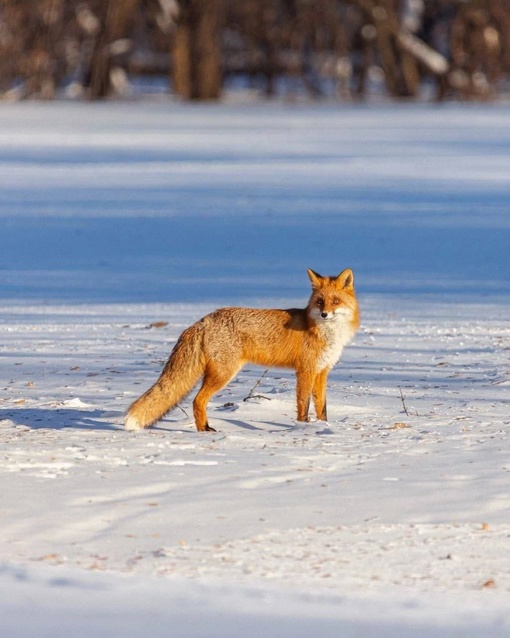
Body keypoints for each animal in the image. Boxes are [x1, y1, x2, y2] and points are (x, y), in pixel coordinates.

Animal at [126, 270, 360, 436]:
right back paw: (204, 431)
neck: (326, 333)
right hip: (224, 373)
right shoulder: (305, 371)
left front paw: (323, 427)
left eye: (335, 301)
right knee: (197, 401)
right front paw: (303, 429)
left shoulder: (322, 371)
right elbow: (304, 405)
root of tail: (203, 320)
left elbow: (322, 408)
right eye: (320, 302)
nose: (325, 314)